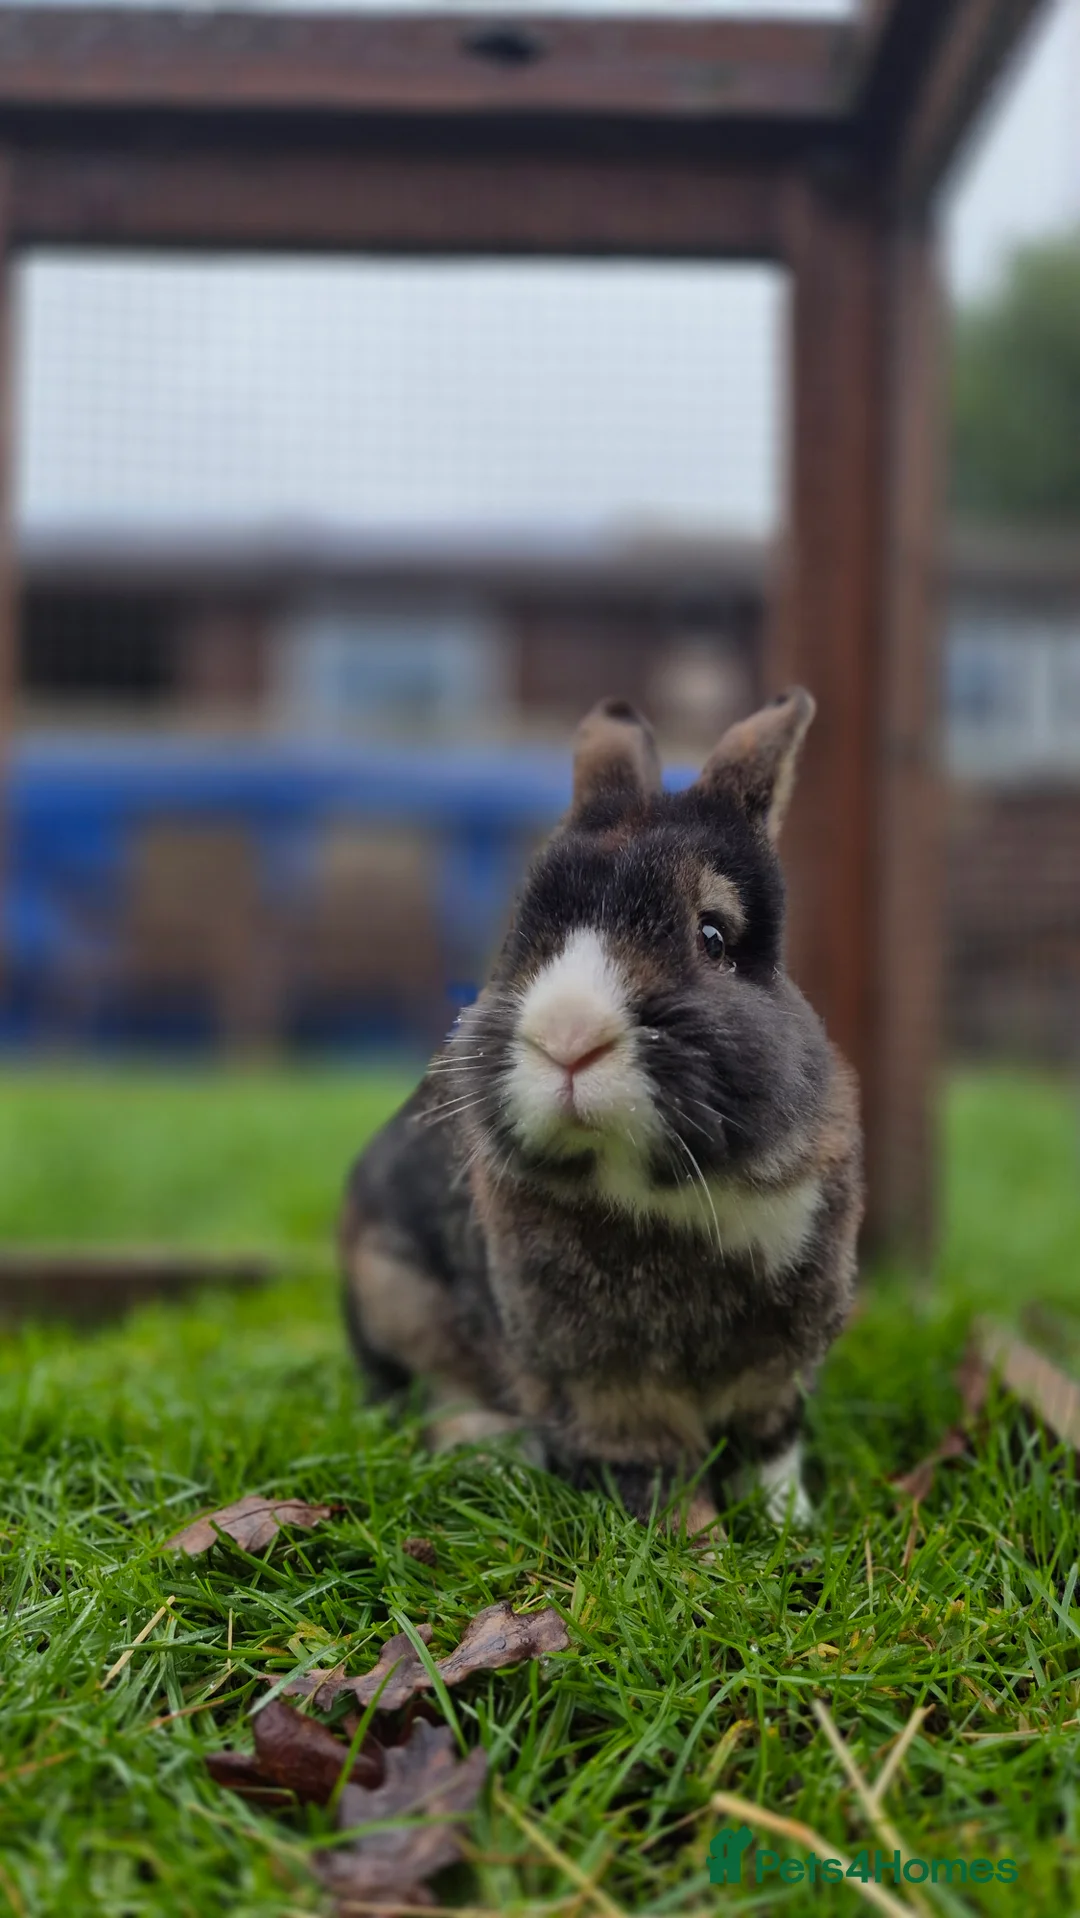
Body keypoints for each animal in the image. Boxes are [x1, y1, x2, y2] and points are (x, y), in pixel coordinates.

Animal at [340, 690, 863, 1541]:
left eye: (712, 936)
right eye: (522, 935)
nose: (568, 1036)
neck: (666, 1191)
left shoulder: (777, 1369)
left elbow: (771, 1451)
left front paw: (792, 1530)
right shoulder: (607, 1386)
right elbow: (658, 1472)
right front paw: (701, 1550)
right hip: (397, 1300)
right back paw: (500, 1457)